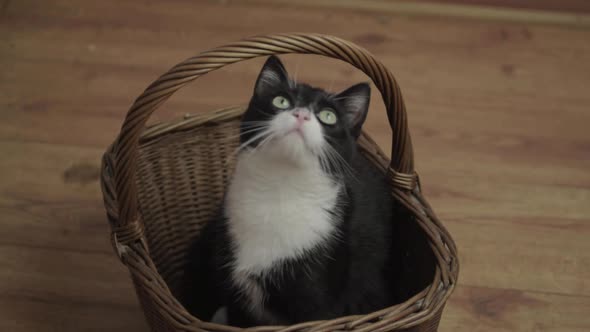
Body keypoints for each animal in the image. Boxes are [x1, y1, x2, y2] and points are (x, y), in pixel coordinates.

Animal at [183, 55, 414, 326]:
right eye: (281, 100)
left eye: (328, 116)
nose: (302, 114)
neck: (280, 190)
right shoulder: (237, 301)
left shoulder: (318, 302)